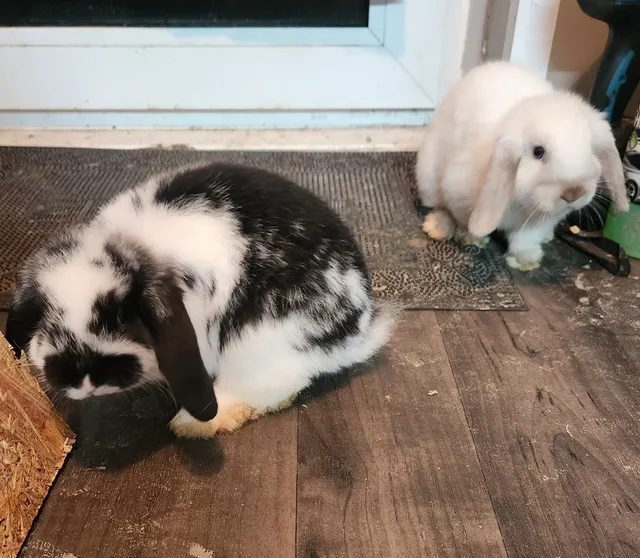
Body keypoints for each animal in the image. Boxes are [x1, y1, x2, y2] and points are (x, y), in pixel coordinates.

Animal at [5, 162, 395, 439]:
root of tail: (357, 331)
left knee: (277, 386)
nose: (84, 380)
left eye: (123, 315)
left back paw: (196, 424)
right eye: (45, 316)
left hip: (257, 342)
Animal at [415, 60, 629, 271]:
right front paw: (471, 238)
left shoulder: (541, 221)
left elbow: (525, 239)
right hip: (428, 177)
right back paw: (437, 227)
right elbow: (462, 221)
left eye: (591, 149)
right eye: (538, 151)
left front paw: (526, 261)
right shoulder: (457, 194)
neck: (525, 203)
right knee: (439, 206)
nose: (573, 193)